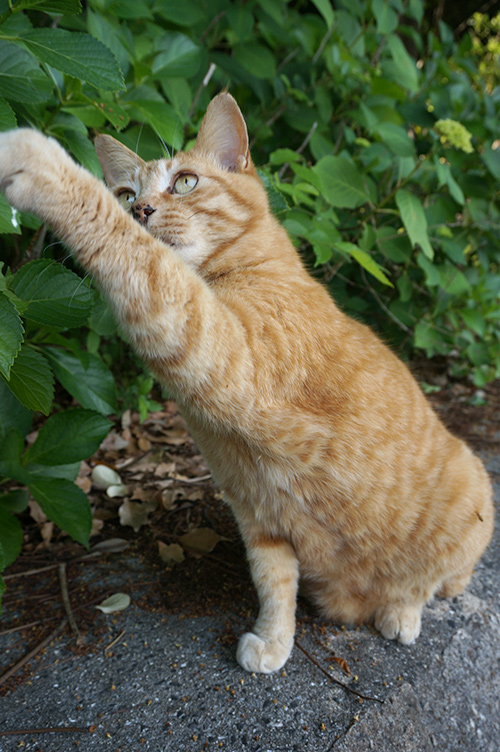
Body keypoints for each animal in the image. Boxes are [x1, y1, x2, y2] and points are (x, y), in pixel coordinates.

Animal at [0, 93, 494, 674]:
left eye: (185, 182)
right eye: (127, 193)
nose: (139, 211)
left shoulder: (228, 352)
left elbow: (145, 265)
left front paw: (38, 162)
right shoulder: (257, 511)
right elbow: (273, 582)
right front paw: (275, 640)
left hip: (473, 490)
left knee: (429, 581)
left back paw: (401, 611)